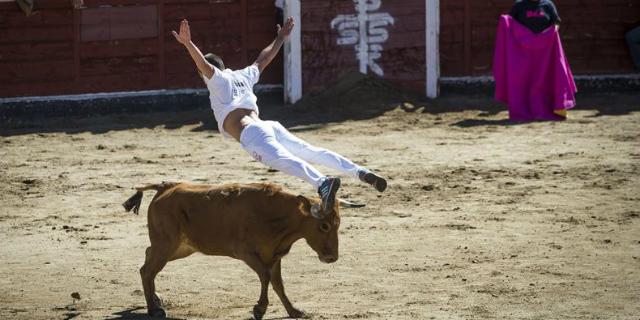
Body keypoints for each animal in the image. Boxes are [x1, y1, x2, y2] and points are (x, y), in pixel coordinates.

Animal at [121, 181, 340, 318]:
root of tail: (165, 186)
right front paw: (259, 309)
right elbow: (265, 276)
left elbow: (278, 284)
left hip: (180, 248)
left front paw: (294, 311)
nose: (332, 257)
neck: (277, 215)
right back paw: (153, 309)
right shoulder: (246, 253)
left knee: (147, 258)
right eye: (324, 226)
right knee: (147, 270)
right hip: (167, 245)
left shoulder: (274, 255)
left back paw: (156, 300)